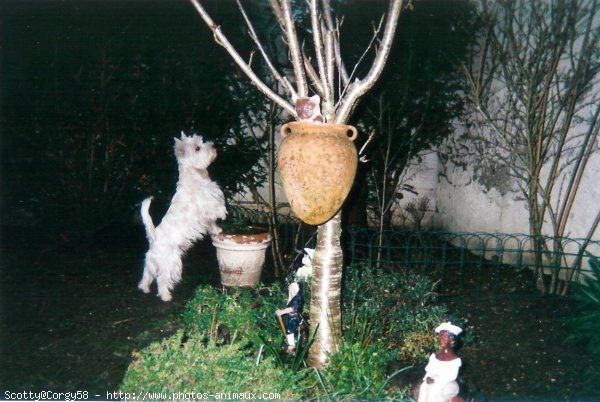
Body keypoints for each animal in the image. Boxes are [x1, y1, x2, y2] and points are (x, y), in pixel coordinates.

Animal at [138, 132, 227, 302]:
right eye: (197, 148)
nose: (213, 146)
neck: (196, 175)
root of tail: (154, 237)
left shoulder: (205, 217)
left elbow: (211, 224)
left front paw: (217, 230)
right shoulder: (207, 206)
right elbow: (216, 211)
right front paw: (222, 217)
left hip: (151, 261)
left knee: (147, 274)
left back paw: (144, 288)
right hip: (170, 261)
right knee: (162, 278)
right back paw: (166, 296)